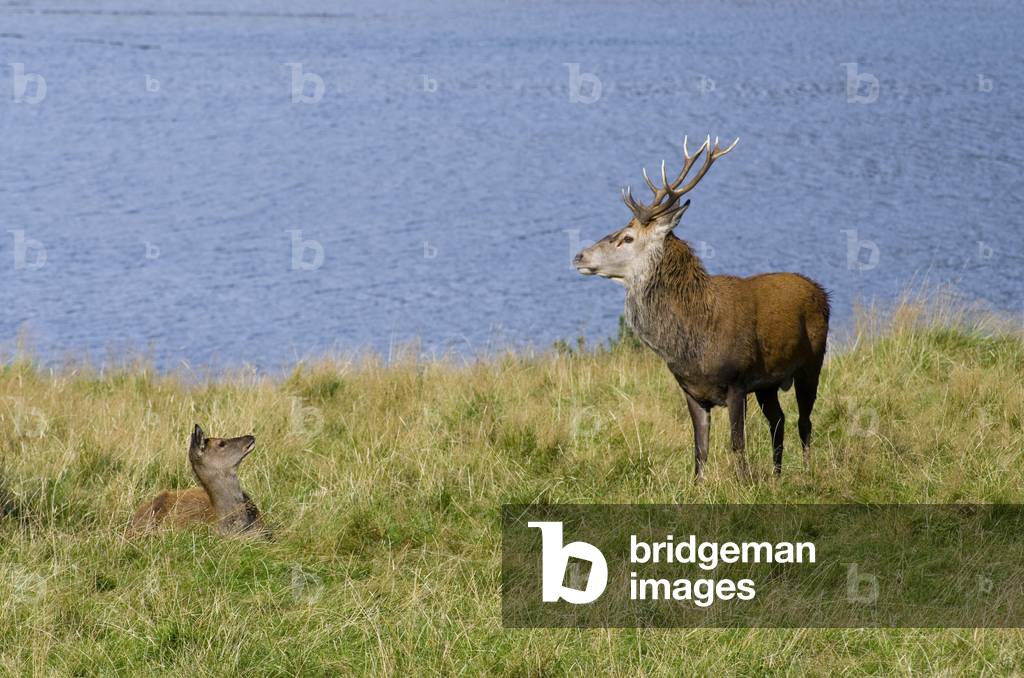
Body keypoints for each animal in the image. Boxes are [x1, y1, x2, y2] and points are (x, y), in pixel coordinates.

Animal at [573, 135, 830, 480]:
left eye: (627, 238)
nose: (579, 256)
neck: (693, 343)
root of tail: (821, 291)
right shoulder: (691, 389)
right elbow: (700, 449)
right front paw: (698, 485)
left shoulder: (737, 382)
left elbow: (737, 445)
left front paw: (745, 483)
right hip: (769, 384)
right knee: (778, 420)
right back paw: (777, 475)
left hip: (812, 363)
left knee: (805, 421)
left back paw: (805, 472)